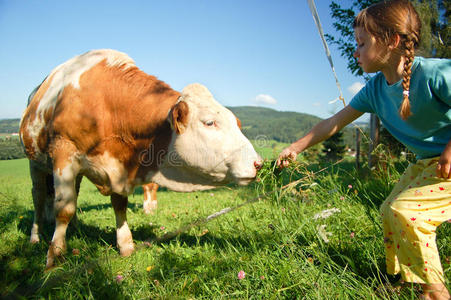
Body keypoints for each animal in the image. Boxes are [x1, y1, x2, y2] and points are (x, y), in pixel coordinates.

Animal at [20, 49, 262, 270]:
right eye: (209, 122)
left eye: (237, 122)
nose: (258, 163)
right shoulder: (64, 154)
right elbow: (64, 209)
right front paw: (55, 256)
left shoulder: (120, 166)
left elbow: (119, 205)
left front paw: (125, 245)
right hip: (35, 163)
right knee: (39, 197)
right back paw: (36, 236)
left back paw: (75, 228)